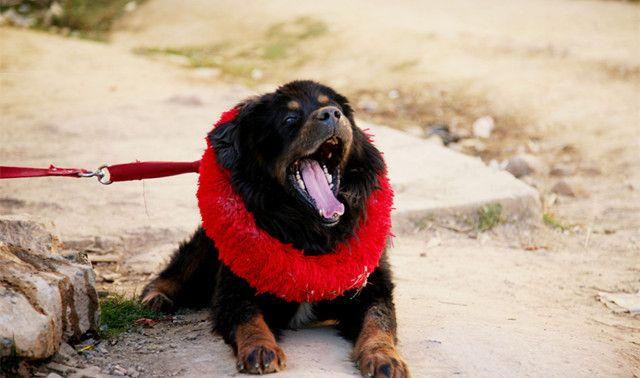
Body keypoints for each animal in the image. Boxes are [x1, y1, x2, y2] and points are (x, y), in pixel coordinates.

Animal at [141, 81, 410, 376]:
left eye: (335, 107)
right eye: (290, 119)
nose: (331, 114)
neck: (311, 231)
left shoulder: (372, 285)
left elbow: (379, 320)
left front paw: (383, 356)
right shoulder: (235, 289)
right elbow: (248, 317)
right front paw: (260, 348)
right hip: (204, 249)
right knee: (177, 271)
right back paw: (155, 297)